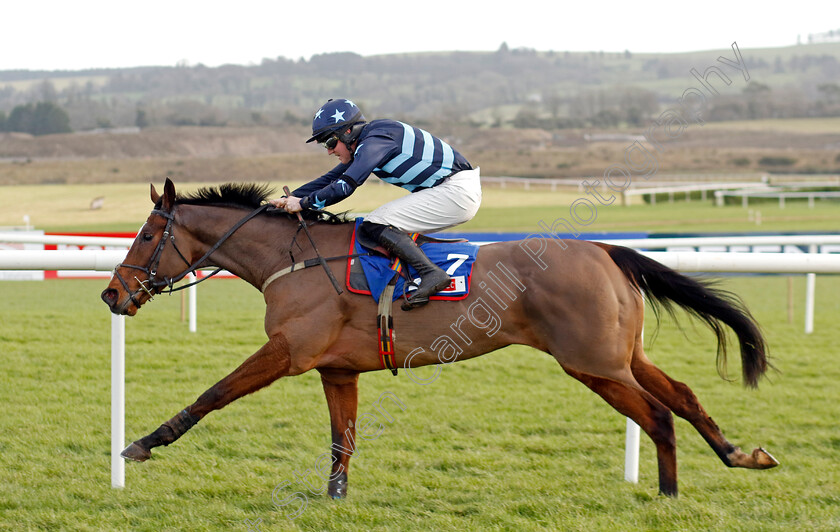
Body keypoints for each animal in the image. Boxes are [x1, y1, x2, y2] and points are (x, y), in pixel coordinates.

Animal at [101, 179, 776, 498]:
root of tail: (606, 250)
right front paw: (335, 495)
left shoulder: (288, 352)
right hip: (620, 355)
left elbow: (213, 394)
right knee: (682, 396)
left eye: (144, 236)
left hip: (592, 363)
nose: (111, 295)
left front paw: (142, 443)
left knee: (658, 413)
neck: (292, 259)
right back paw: (739, 455)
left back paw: (668, 491)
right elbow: (342, 437)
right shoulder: (336, 368)